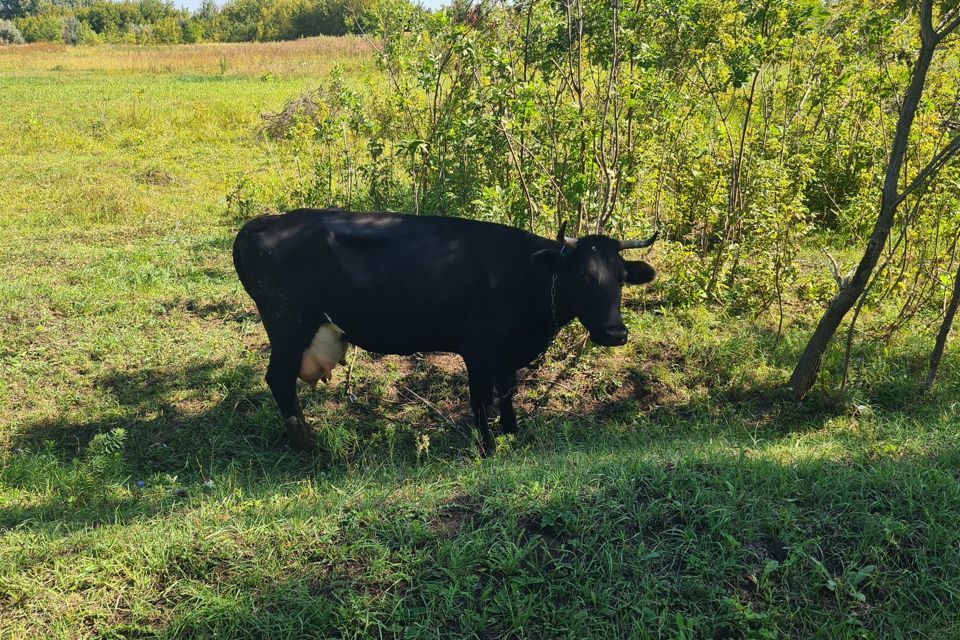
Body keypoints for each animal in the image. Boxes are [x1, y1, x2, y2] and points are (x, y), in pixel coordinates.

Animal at [233, 208, 656, 452]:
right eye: (584, 276)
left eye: (621, 278)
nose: (615, 333)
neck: (525, 273)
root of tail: (262, 222)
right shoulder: (478, 351)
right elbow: (481, 401)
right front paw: (487, 446)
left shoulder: (507, 353)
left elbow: (507, 393)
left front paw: (512, 434)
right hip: (288, 325)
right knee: (278, 379)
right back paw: (308, 443)